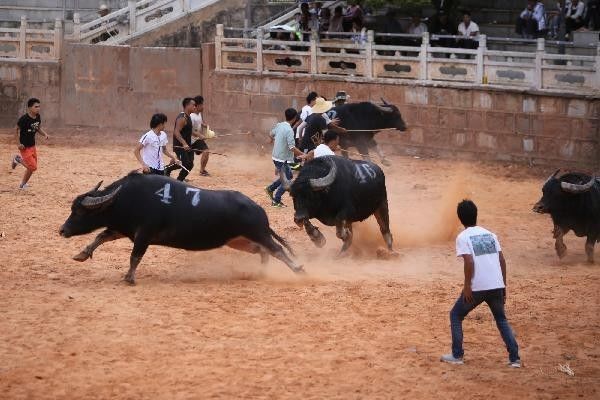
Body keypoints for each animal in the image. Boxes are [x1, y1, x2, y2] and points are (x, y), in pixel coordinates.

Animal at [59, 172, 304, 284]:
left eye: (79, 212)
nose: (62, 230)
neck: (124, 198)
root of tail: (259, 211)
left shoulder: (143, 235)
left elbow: (135, 256)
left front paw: (129, 278)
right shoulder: (122, 229)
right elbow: (101, 236)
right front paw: (81, 254)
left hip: (257, 233)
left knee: (277, 250)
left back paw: (299, 270)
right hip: (240, 241)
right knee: (264, 251)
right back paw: (262, 272)